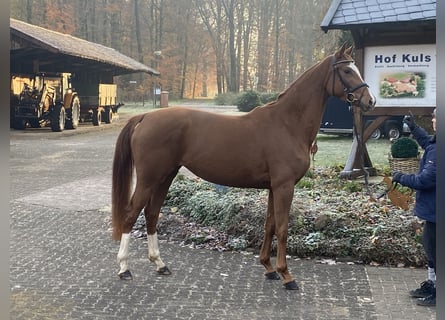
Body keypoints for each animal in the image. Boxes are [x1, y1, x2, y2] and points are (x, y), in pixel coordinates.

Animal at [110, 44, 374, 290]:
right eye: (347, 70)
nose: (369, 101)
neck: (287, 124)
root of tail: (145, 117)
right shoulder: (284, 186)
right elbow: (283, 228)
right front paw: (286, 275)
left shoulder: (273, 187)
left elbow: (269, 225)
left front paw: (269, 268)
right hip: (149, 179)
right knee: (131, 214)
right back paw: (124, 268)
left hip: (165, 177)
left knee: (152, 214)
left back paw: (159, 263)